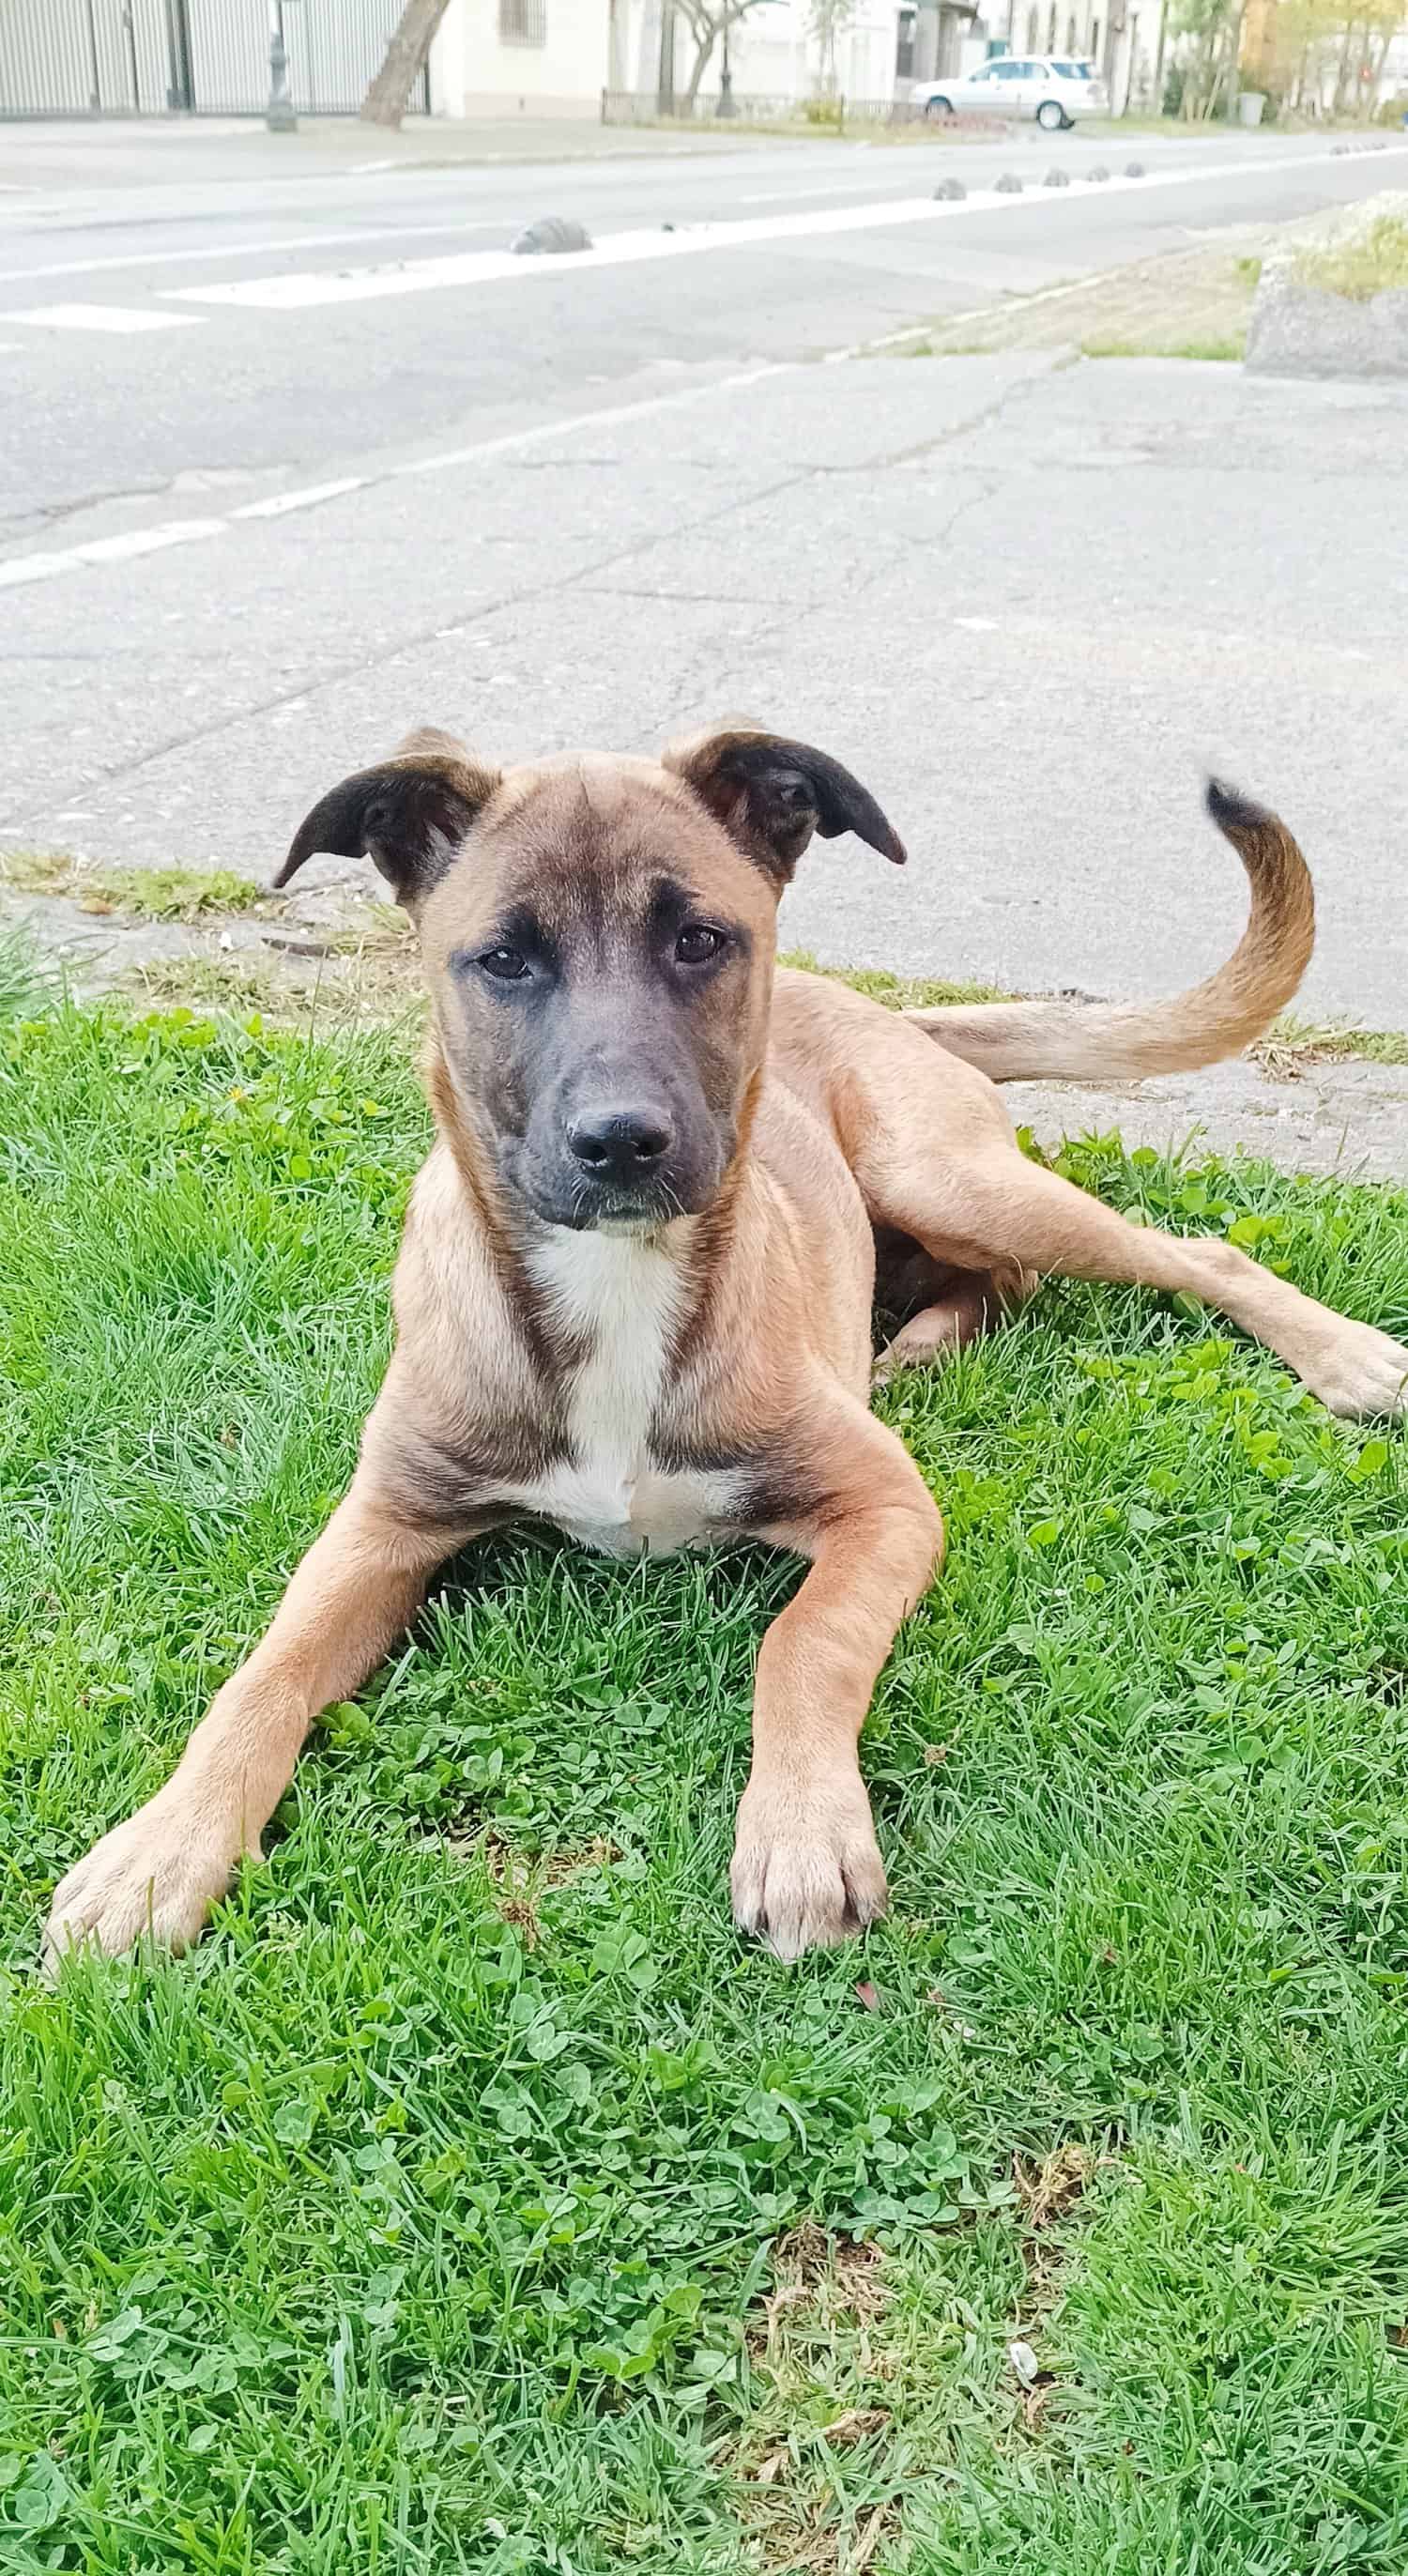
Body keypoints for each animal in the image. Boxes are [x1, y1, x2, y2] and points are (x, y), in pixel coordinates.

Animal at [43, 731, 1408, 1968]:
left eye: (699, 940)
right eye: (503, 958)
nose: (621, 1141)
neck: (619, 1285)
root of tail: (892, 1010)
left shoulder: (885, 1506)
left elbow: (800, 1647)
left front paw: (802, 1834)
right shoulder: (383, 1521)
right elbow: (259, 1677)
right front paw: (157, 1850)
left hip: (946, 1172)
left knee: (1194, 1255)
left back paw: (1345, 1356)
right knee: (1000, 1279)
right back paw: (923, 1342)